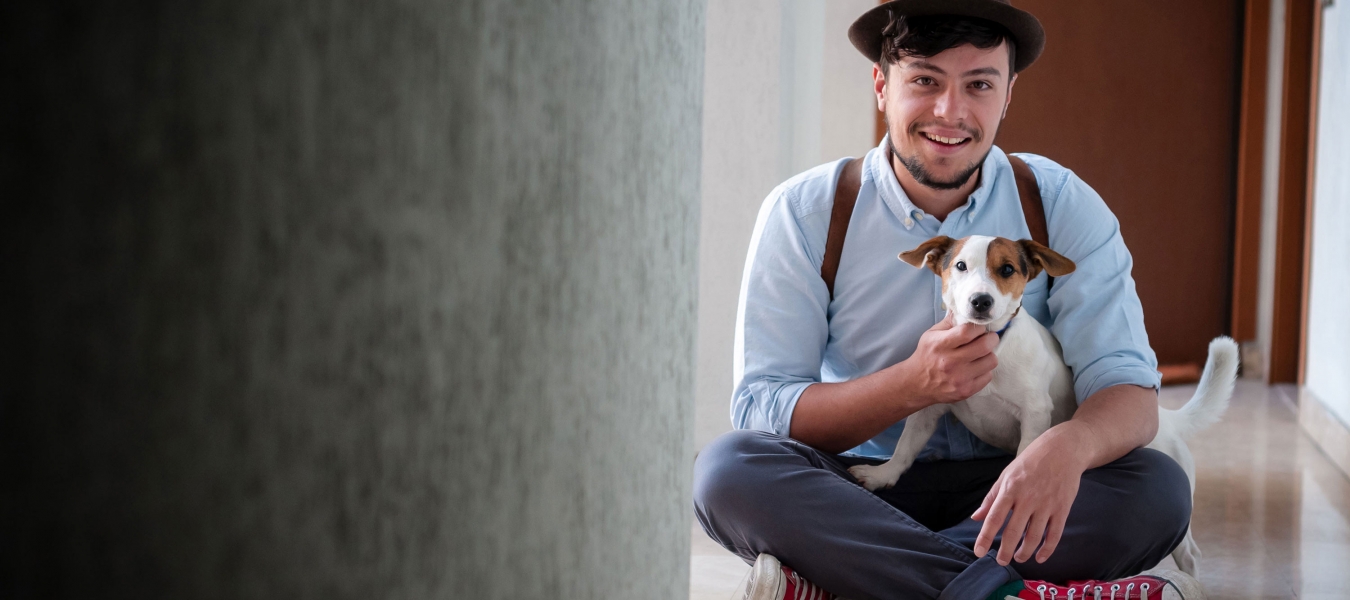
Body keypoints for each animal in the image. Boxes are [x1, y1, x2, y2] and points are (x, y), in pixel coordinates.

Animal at [847, 233, 1236, 575]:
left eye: (1006, 269)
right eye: (960, 266)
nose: (980, 301)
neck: (991, 344)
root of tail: (1166, 419)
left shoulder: (1034, 413)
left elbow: (1025, 457)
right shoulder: (930, 406)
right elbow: (906, 448)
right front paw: (884, 474)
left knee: (1190, 554)